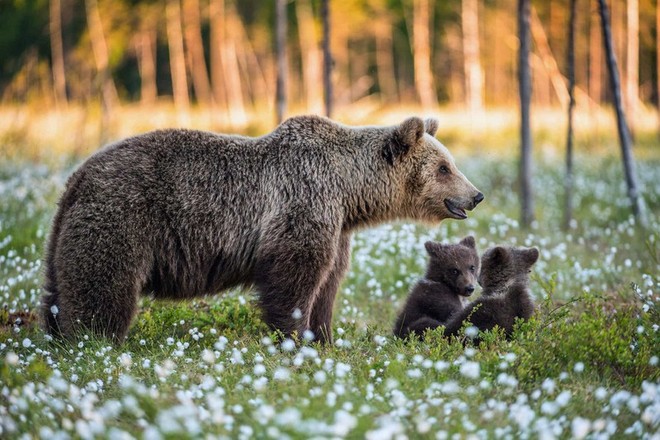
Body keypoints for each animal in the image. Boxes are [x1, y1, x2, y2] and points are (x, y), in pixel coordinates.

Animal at [42, 115, 484, 342]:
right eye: (444, 167)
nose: (476, 195)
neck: (350, 191)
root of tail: (78, 175)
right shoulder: (302, 203)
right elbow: (294, 277)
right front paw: (296, 336)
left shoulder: (337, 227)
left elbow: (327, 282)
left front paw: (324, 336)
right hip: (124, 217)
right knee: (103, 284)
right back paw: (95, 340)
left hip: (66, 233)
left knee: (59, 286)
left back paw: (57, 334)